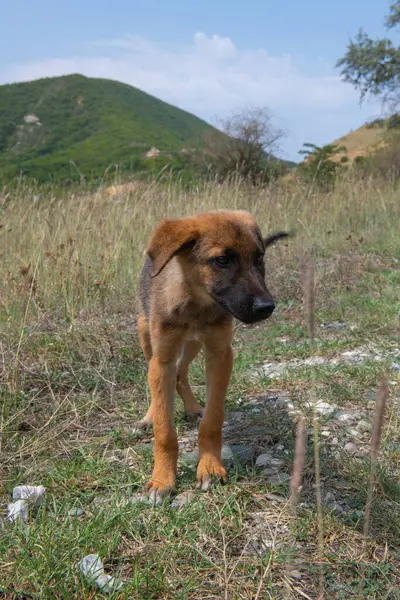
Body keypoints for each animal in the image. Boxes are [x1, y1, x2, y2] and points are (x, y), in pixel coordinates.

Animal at [136, 210, 290, 502]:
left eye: (259, 258)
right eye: (222, 260)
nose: (266, 307)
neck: (196, 302)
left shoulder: (220, 354)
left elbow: (213, 419)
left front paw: (209, 466)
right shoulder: (162, 359)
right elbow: (164, 429)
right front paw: (162, 480)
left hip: (194, 345)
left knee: (181, 373)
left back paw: (193, 408)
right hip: (145, 333)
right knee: (160, 380)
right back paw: (149, 417)